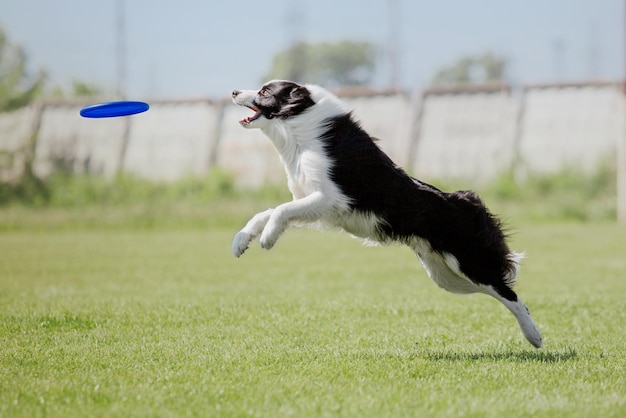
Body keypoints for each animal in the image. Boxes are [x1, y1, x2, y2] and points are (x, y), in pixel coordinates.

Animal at [229, 80, 540, 348]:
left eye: (265, 91)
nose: (233, 91)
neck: (300, 128)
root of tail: (460, 200)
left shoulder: (331, 198)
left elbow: (280, 210)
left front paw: (268, 239)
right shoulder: (314, 204)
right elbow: (267, 212)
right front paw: (241, 241)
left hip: (467, 262)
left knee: (509, 293)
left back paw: (535, 336)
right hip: (446, 276)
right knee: (501, 290)